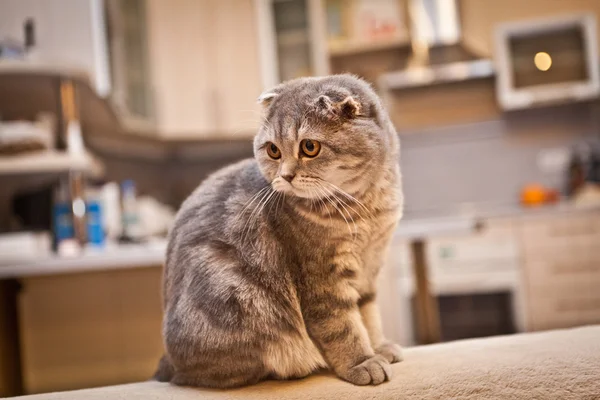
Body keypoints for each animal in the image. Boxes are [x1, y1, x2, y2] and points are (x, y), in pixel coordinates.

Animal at [156, 74, 404, 388]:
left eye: (309, 147)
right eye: (273, 150)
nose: (285, 176)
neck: (367, 209)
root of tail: (167, 362)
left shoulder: (370, 269)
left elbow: (369, 315)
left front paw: (380, 347)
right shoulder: (323, 278)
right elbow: (343, 326)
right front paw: (363, 361)